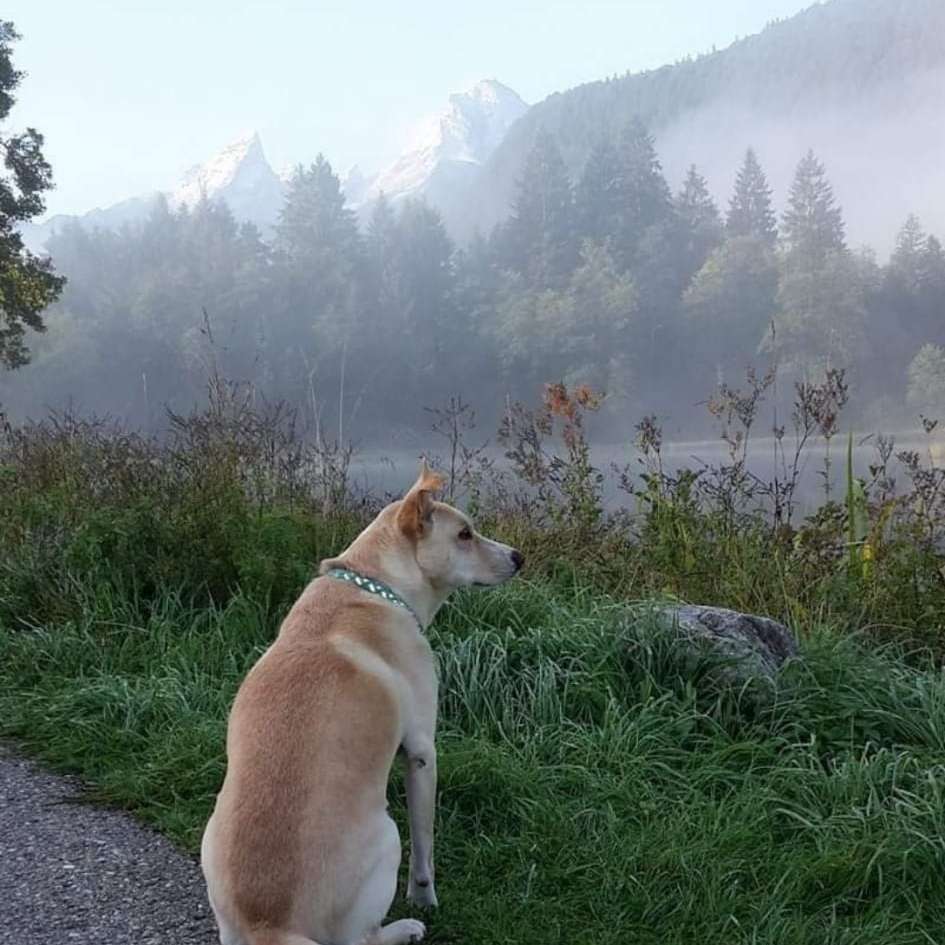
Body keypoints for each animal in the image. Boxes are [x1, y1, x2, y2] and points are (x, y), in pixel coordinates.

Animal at [201, 462, 524, 944]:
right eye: (465, 534)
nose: (519, 557)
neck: (373, 584)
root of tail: (270, 926)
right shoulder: (423, 752)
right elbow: (425, 847)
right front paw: (425, 899)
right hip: (388, 838)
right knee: (361, 938)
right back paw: (406, 927)